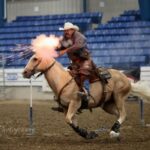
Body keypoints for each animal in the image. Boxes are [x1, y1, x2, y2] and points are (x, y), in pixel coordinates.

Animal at [22, 52, 150, 140]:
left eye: (35, 58)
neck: (63, 81)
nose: (24, 72)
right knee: (121, 115)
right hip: (107, 105)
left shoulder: (74, 104)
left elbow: (68, 120)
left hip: (118, 97)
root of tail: (127, 79)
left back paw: (114, 131)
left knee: (123, 114)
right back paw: (116, 132)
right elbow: (71, 123)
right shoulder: (66, 108)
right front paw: (88, 134)